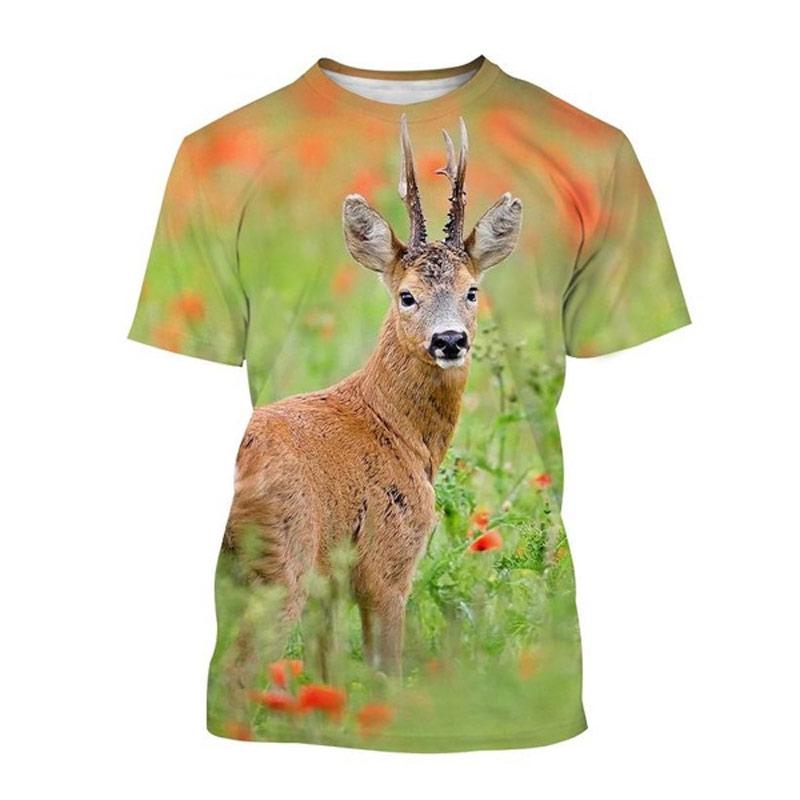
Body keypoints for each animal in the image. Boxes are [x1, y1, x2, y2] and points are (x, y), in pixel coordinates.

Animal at [223, 115, 522, 681]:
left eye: (472, 291)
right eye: (407, 296)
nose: (449, 340)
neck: (396, 429)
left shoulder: (327, 588)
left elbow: (327, 673)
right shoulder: (388, 562)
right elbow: (387, 673)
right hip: (277, 559)